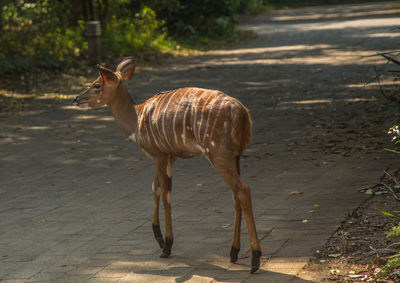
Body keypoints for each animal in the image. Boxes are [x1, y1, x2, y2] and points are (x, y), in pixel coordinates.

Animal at [73, 58, 262, 276]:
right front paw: (159, 237)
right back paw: (233, 252)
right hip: (236, 156)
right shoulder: (170, 157)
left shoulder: (159, 156)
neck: (136, 120)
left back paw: (255, 259)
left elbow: (165, 195)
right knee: (236, 194)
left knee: (243, 190)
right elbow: (155, 187)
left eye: (97, 84)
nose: (76, 99)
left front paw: (167, 246)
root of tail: (242, 114)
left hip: (218, 154)